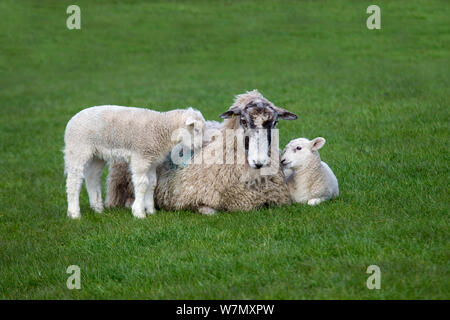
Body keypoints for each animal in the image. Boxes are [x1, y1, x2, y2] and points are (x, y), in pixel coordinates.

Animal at [64, 104, 206, 218]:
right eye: (196, 129)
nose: (200, 147)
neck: (162, 129)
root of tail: (72, 120)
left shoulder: (151, 161)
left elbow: (152, 183)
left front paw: (151, 210)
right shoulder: (140, 157)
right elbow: (142, 184)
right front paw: (139, 212)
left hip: (97, 155)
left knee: (92, 177)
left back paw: (97, 208)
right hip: (77, 149)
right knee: (74, 180)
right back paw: (74, 213)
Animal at [103, 90, 298, 214]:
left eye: (275, 122)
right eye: (243, 120)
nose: (259, 162)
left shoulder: (277, 201)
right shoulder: (193, 199)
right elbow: (210, 212)